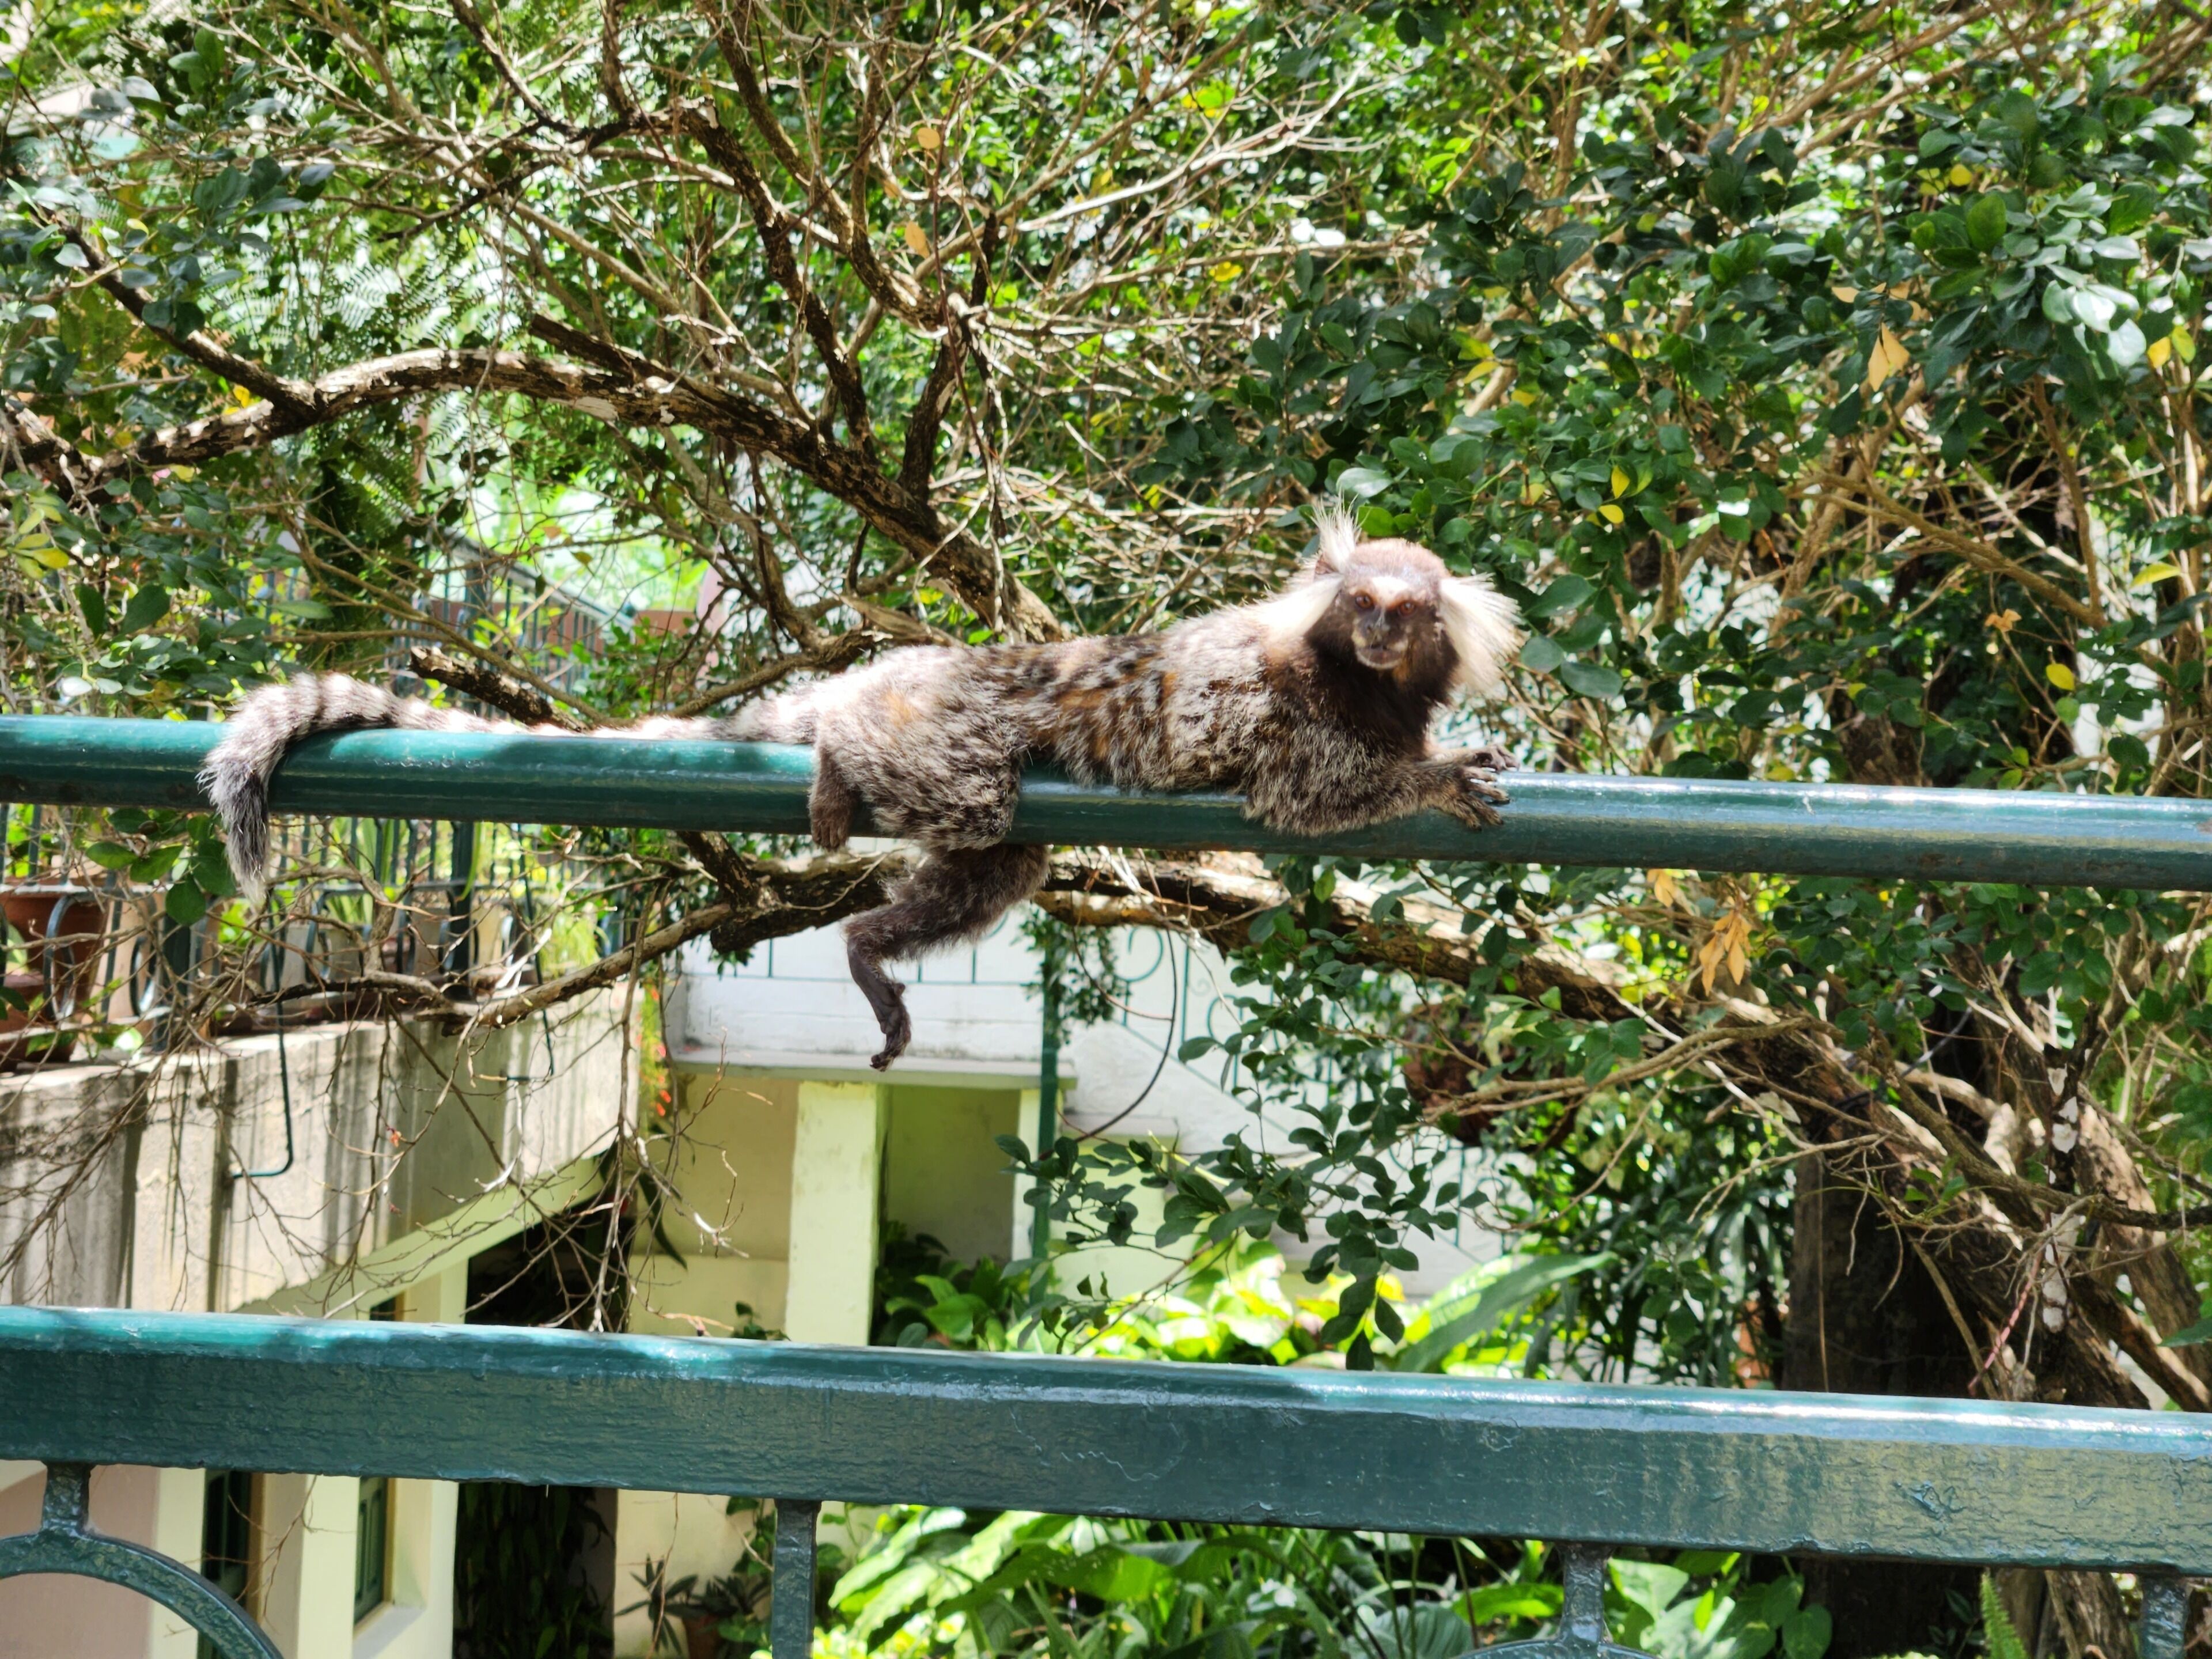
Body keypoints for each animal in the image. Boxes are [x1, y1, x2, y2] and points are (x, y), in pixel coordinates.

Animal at [203, 503, 1522, 1069]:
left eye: (1407, 612)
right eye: (1363, 605)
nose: (1381, 635)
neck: (1360, 682)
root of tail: (897, 666)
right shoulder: (1288, 698)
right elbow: (1303, 797)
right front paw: (1431, 778)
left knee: (1003, 865)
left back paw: (869, 955)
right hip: (943, 727)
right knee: (964, 798)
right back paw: (837, 758)